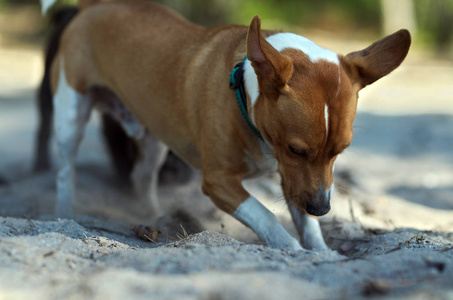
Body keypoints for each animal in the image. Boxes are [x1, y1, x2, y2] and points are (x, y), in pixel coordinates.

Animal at [41, 0, 410, 251]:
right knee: (64, 173)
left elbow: (306, 224)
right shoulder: (220, 182)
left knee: (141, 176)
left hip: (155, 136)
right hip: (70, 118)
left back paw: (153, 216)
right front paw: (290, 249)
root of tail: (97, 6)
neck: (243, 95)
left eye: (341, 150)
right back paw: (64, 215)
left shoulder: (296, 180)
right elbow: (265, 215)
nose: (322, 208)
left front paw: (321, 253)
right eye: (296, 149)